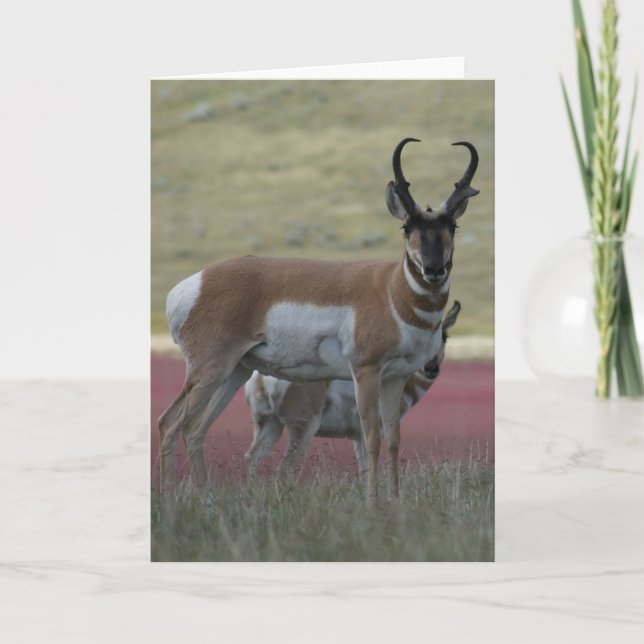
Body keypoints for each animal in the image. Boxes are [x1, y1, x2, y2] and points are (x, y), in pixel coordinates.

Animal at [244, 301, 461, 476]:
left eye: (445, 336)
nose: (431, 368)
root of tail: (262, 380)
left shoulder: (357, 436)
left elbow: (364, 471)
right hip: (303, 428)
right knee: (286, 468)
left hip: (270, 424)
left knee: (251, 458)